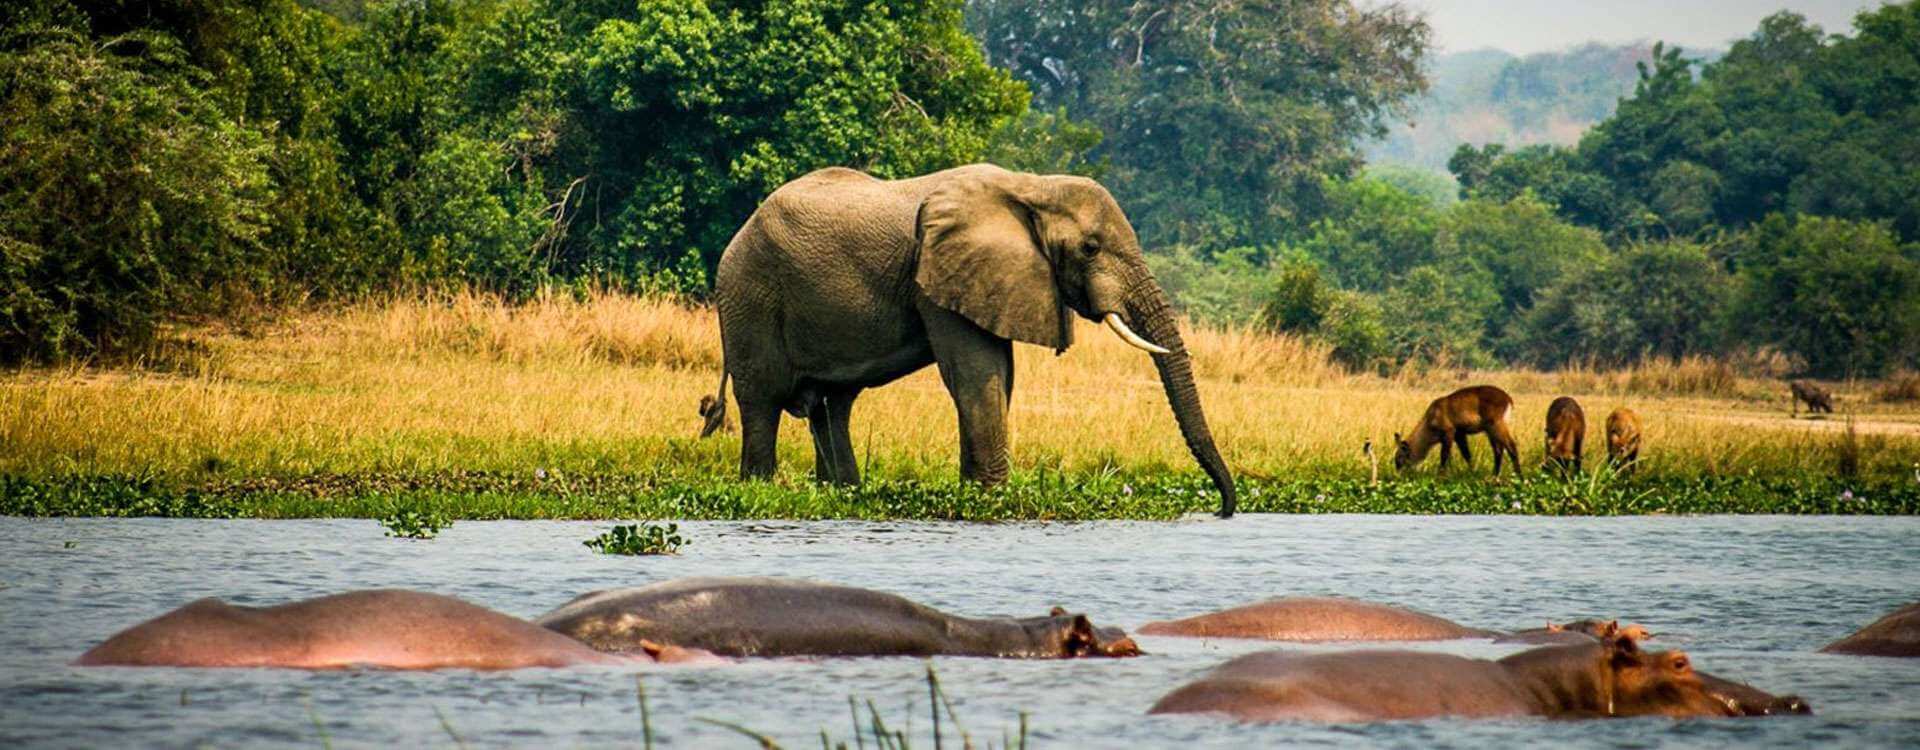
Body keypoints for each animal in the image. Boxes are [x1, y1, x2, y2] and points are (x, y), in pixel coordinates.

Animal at [714, 164, 1236, 517]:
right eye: (1090, 248)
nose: (1221, 509)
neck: (1031, 187)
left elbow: (1000, 376)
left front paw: (975, 493)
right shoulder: (939, 275)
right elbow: (974, 374)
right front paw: (991, 499)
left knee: (832, 406)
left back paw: (843, 495)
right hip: (749, 296)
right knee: (762, 401)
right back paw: (759, 490)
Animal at [1390, 387, 1520, 475]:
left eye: (1399, 456)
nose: (1398, 473)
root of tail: (1508, 399)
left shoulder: (1449, 432)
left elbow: (1444, 455)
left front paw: (1441, 474)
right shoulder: (1459, 434)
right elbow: (1466, 454)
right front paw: (1472, 472)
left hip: (1496, 425)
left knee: (1511, 446)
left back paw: (1519, 476)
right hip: (1490, 430)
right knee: (1498, 450)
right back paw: (1495, 475)